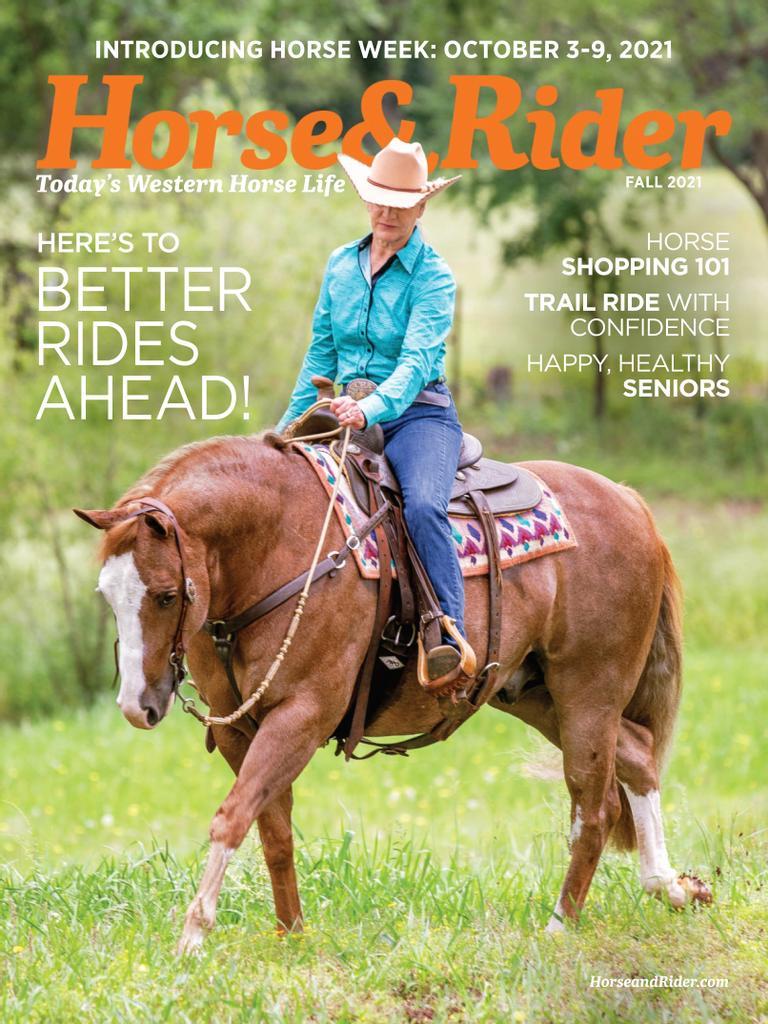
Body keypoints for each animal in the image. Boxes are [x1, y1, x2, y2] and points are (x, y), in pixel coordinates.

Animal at [74, 431, 711, 954]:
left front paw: (193, 935)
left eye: (164, 595)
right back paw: (672, 886)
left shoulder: (302, 714)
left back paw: (559, 926)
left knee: (593, 808)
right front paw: (291, 935)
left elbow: (232, 818)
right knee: (636, 755)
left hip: (588, 693)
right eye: (107, 594)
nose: (137, 705)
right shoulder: (238, 726)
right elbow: (270, 827)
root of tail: (629, 502)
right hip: (534, 694)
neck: (275, 546)